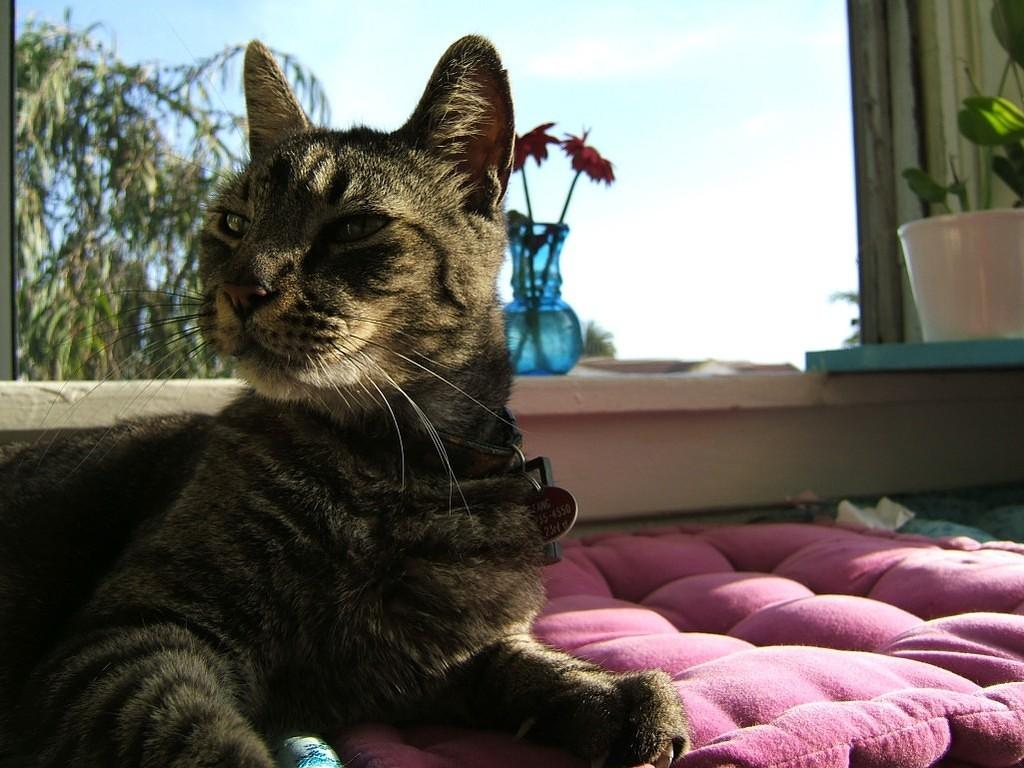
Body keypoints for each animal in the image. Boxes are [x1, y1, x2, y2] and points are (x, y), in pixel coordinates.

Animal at [2, 36, 688, 768]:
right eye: (233, 223)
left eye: (355, 226)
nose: (241, 286)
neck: (396, 469)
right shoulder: (127, 635)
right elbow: (199, 736)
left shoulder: (445, 656)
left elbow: (524, 660)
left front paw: (614, 691)